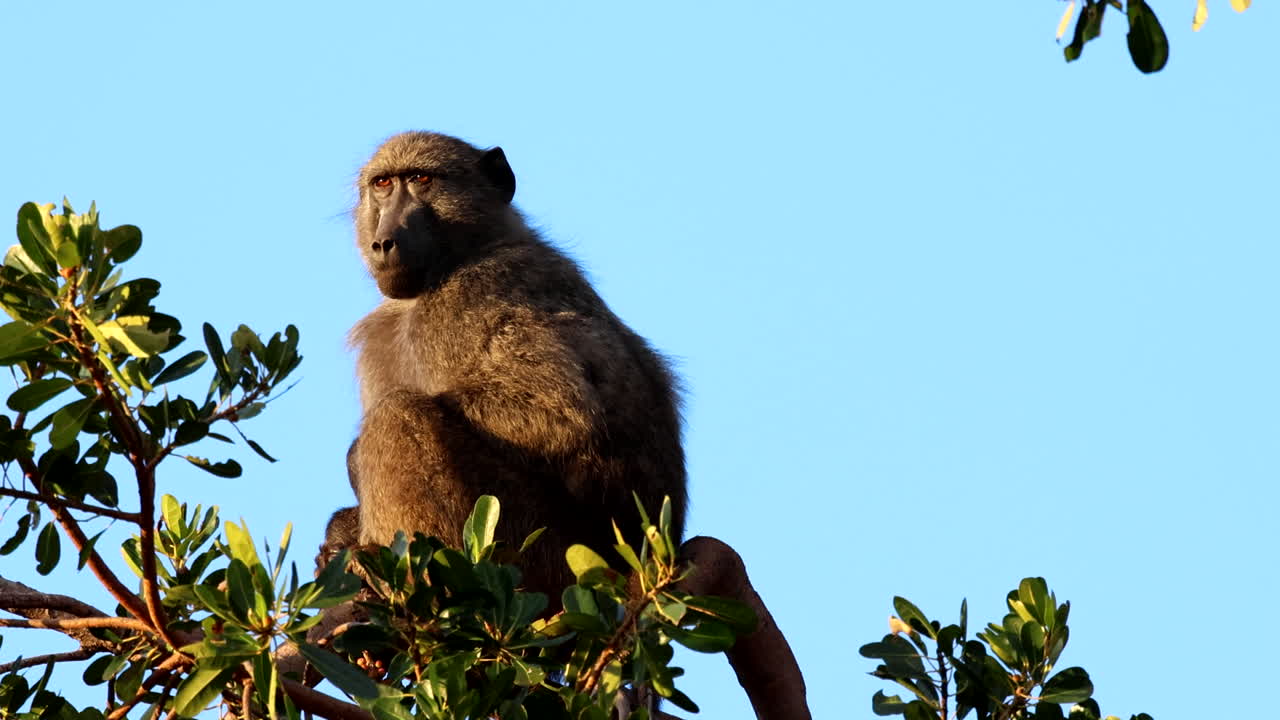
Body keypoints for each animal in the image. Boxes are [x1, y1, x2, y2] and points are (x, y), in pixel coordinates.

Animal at [319, 132, 687, 598]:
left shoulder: (473, 294)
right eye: (382, 184)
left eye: (421, 179)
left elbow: (560, 415)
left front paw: (352, 467)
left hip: (534, 554)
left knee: (399, 415)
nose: (384, 241)